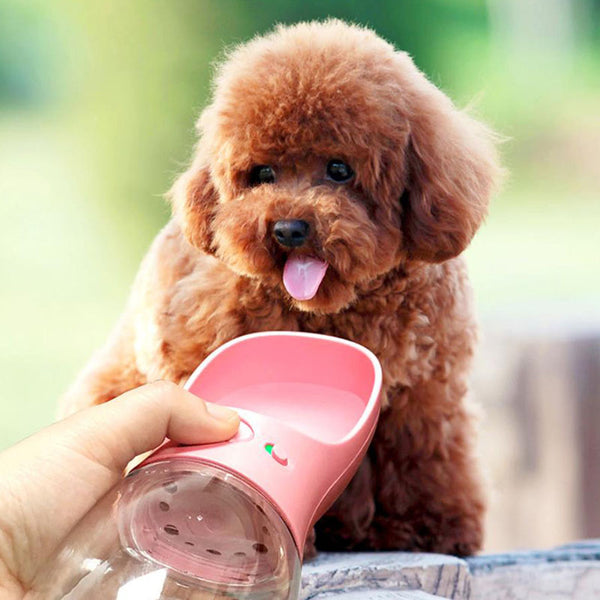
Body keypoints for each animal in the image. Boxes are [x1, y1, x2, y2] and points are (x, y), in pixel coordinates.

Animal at [61, 22, 502, 556]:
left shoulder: (427, 387)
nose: (289, 228)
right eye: (263, 174)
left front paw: (430, 527)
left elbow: (427, 456)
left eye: (339, 169)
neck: (329, 311)